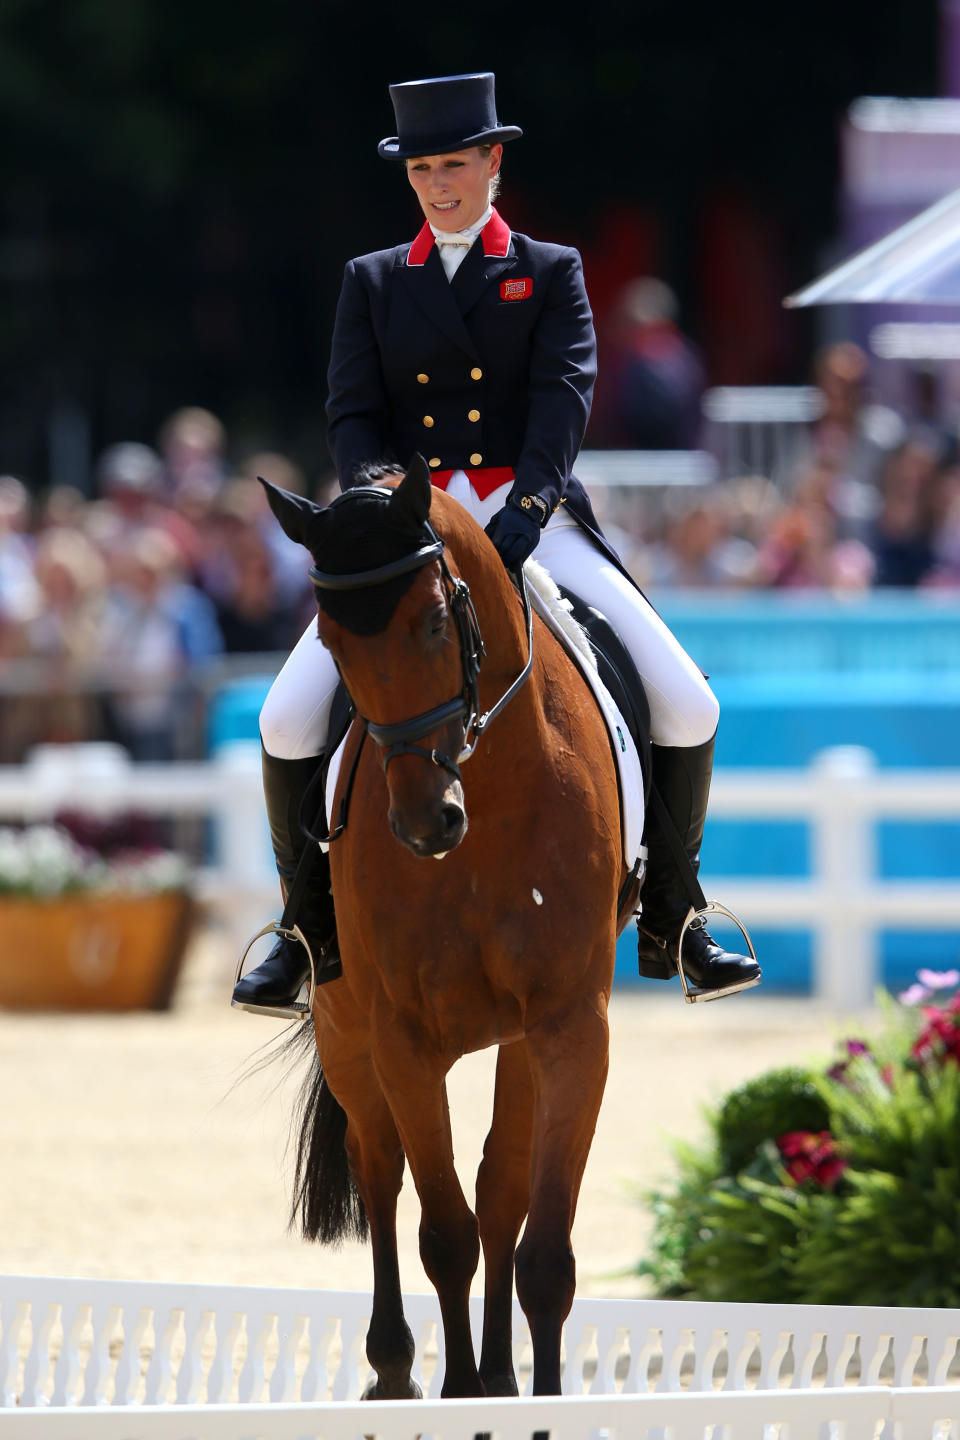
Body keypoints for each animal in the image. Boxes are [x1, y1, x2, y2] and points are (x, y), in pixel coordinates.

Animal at [263, 455, 644, 1399]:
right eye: (331, 642)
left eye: (436, 622)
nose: (424, 824)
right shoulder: (402, 1037)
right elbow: (443, 1233)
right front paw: (457, 1393)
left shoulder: (570, 1026)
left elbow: (542, 1248)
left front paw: (525, 1397)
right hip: (346, 1027)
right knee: (380, 1168)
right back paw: (395, 1368)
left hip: (516, 1037)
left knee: (500, 1184)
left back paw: (501, 1375)